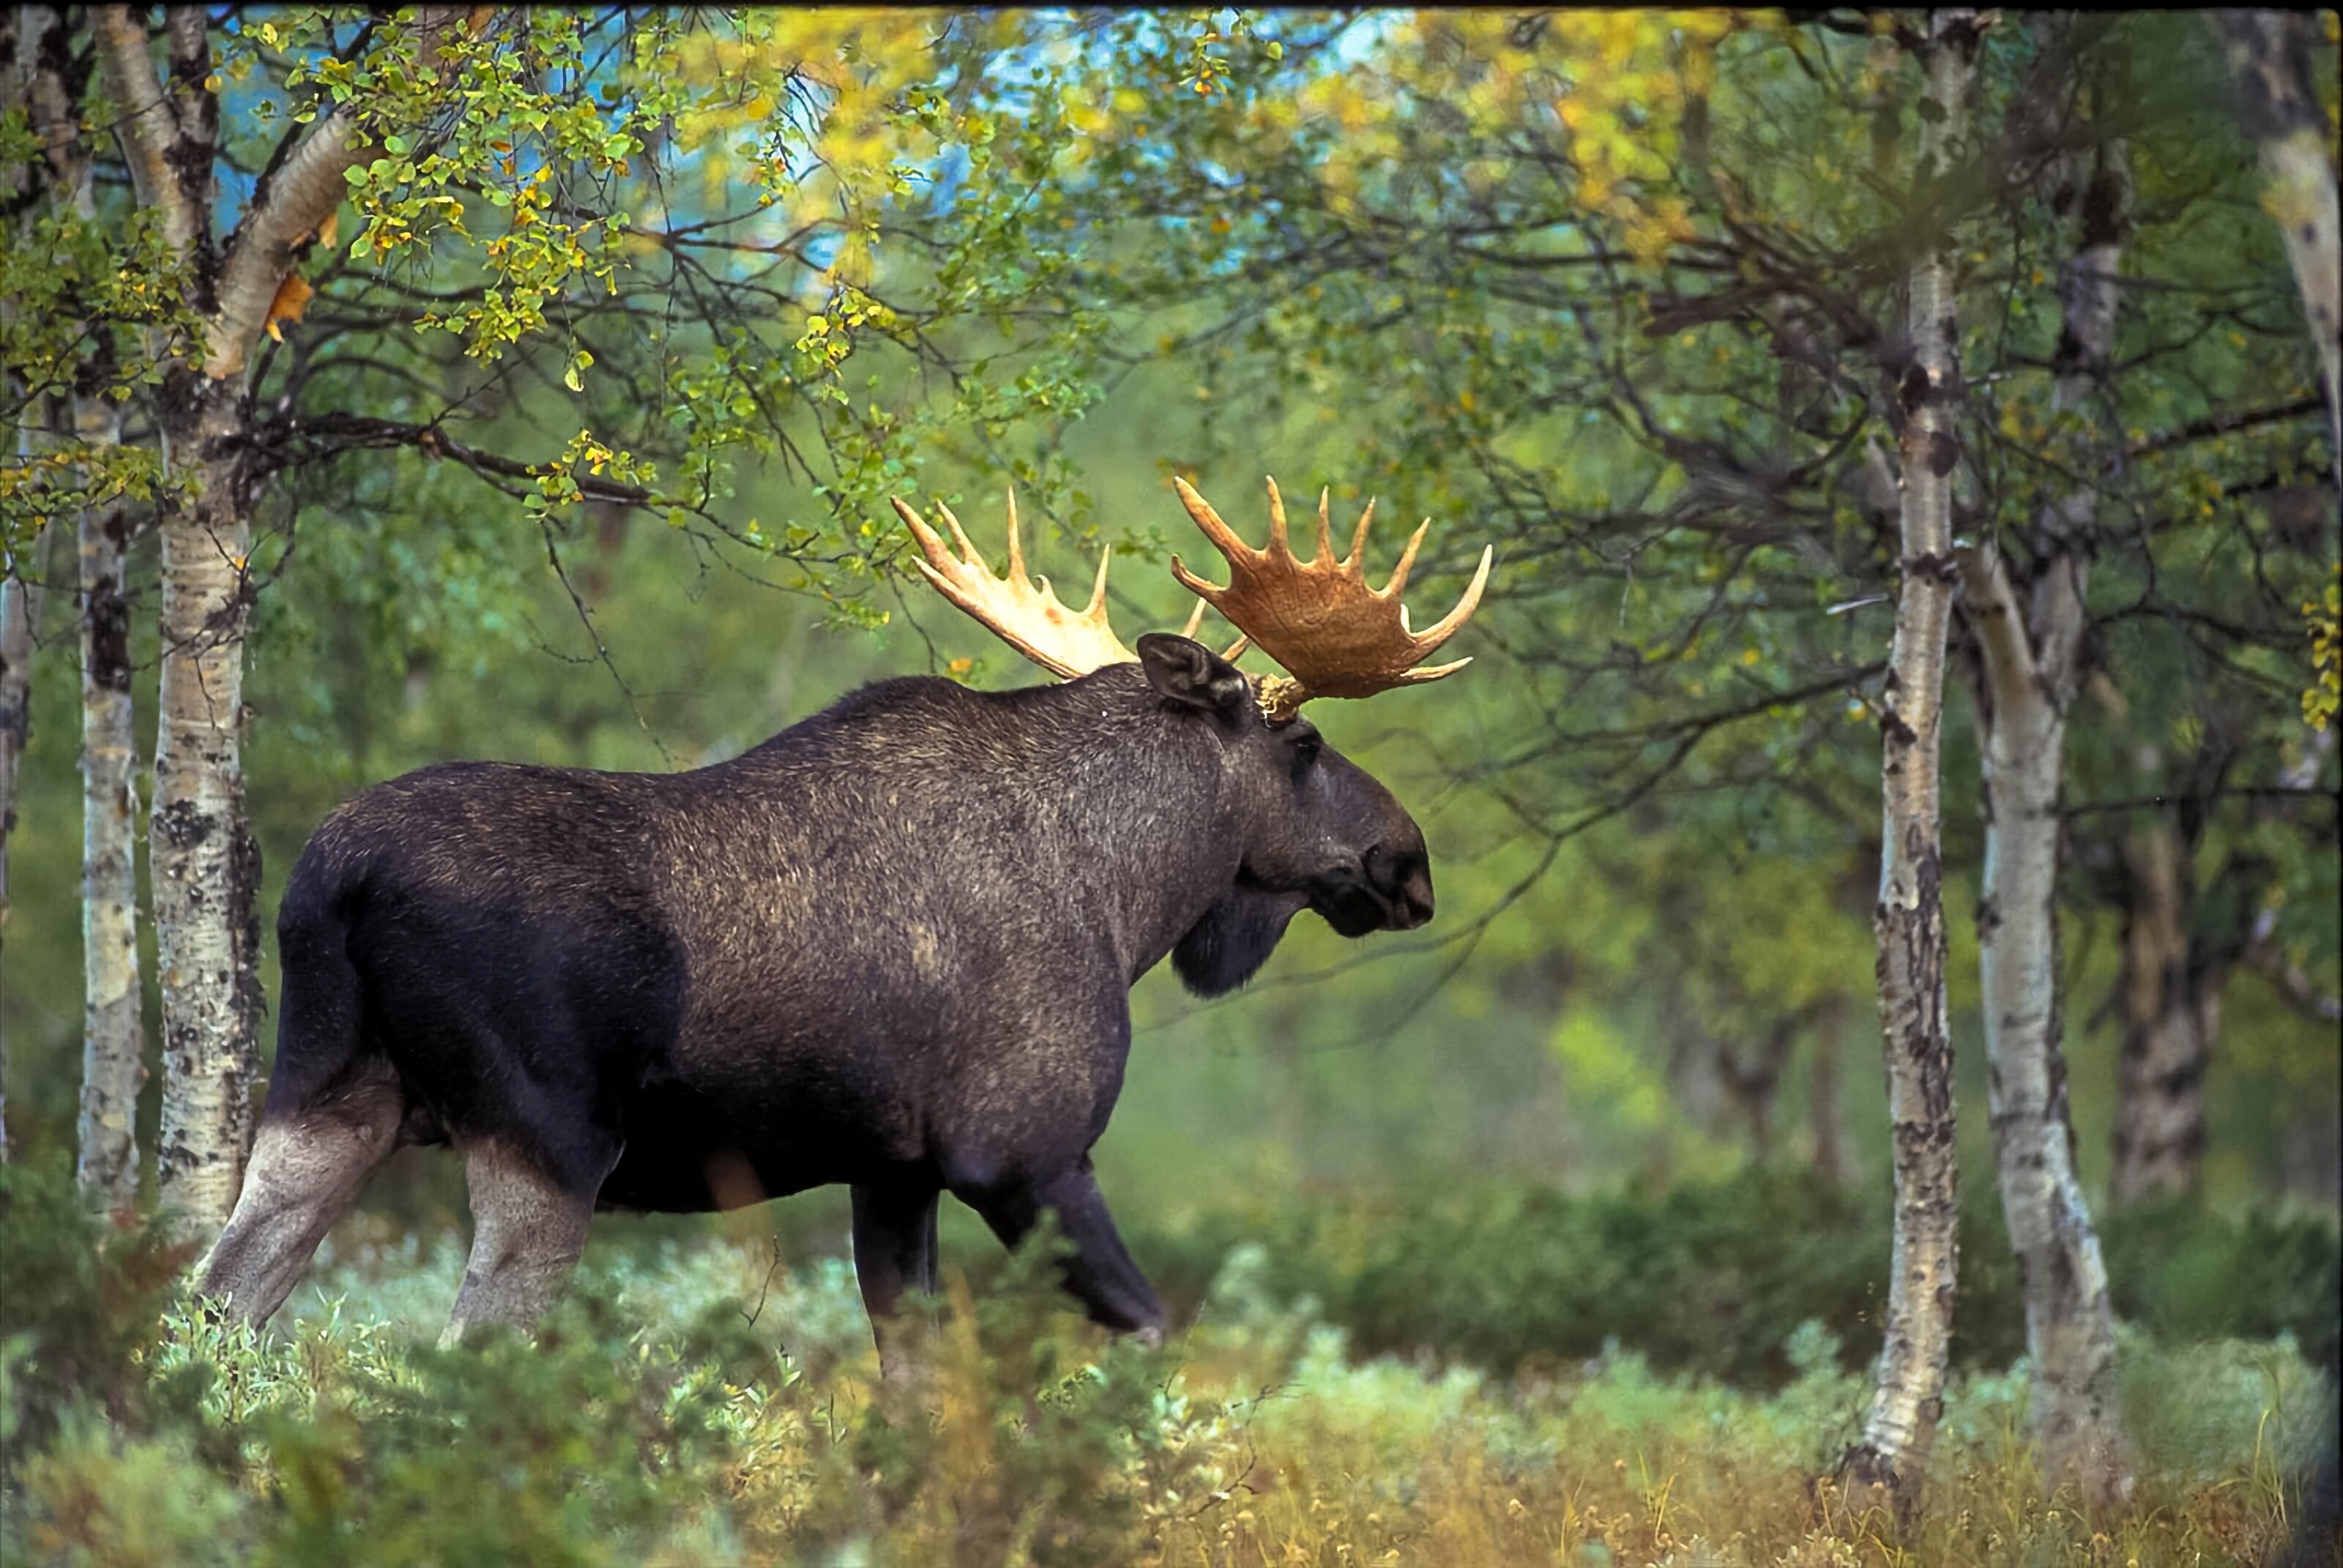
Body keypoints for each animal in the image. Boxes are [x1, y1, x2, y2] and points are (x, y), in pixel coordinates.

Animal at [196, 471, 1480, 1350]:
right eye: (1304, 743)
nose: (1408, 859)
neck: (1131, 895)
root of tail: (331, 882)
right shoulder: (1023, 1150)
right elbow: (1151, 1334)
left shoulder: (893, 1170)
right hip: (546, 1137)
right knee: (468, 1345)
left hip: (326, 1096)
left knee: (219, 1304)